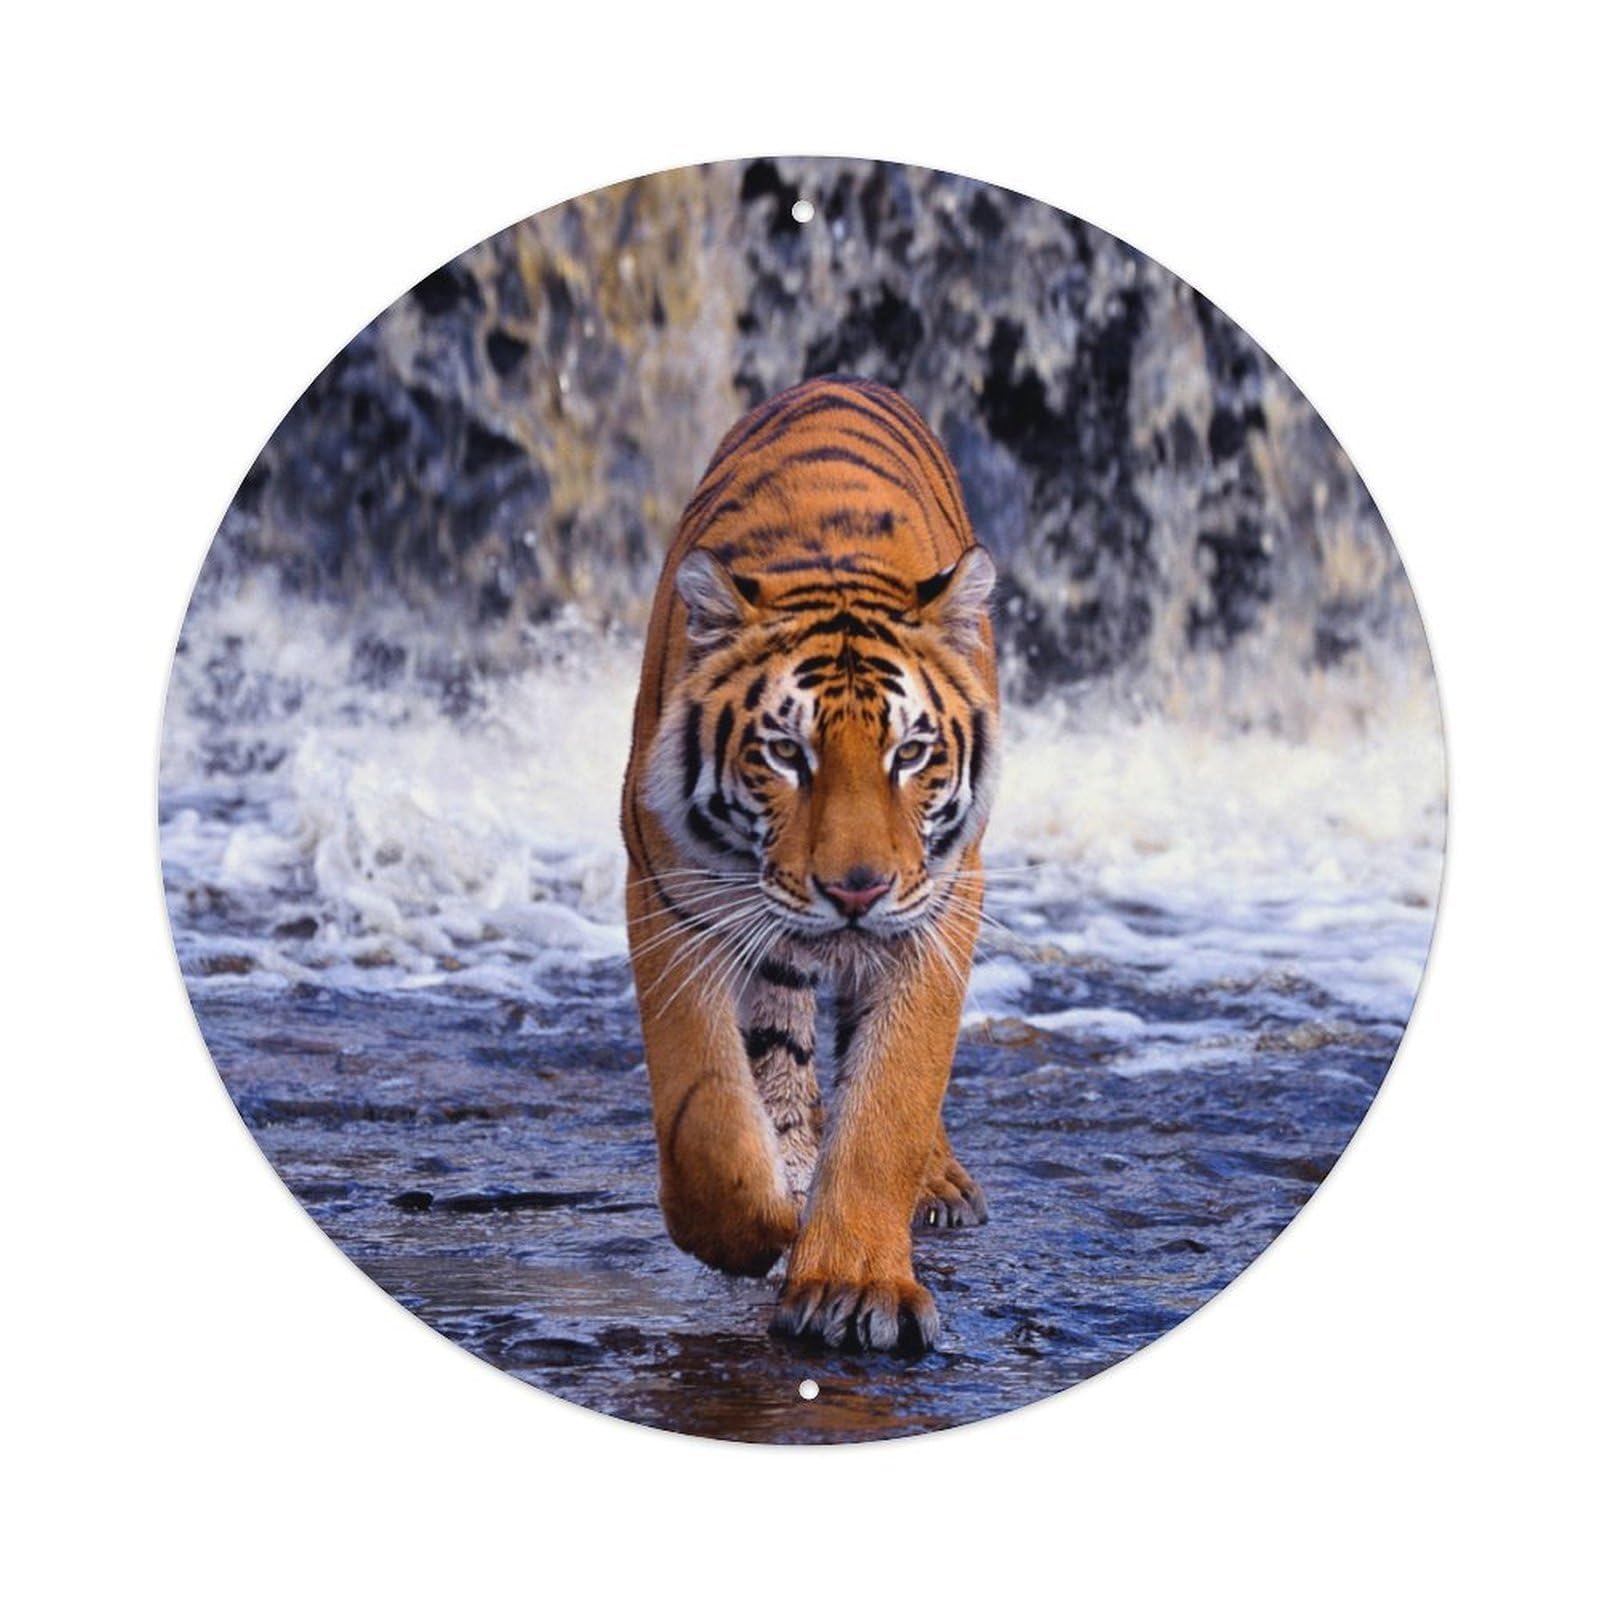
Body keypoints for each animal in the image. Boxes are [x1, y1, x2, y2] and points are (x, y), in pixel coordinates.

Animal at [620, 374, 1000, 1352]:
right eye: (787, 753)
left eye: (911, 753)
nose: (855, 890)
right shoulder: (671, 893)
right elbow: (707, 1109)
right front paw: (753, 1229)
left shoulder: (939, 906)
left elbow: (892, 1098)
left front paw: (854, 1284)